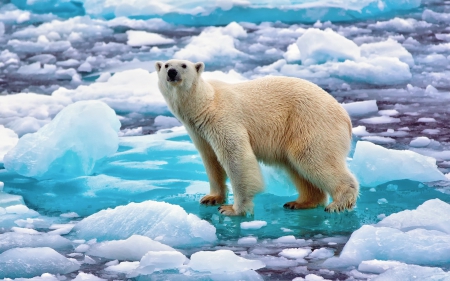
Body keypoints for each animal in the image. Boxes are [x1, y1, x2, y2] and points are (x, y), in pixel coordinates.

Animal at [155, 59, 358, 214]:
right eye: (166, 65)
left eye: (183, 65)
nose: (172, 72)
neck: (205, 104)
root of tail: (345, 116)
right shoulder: (199, 132)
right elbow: (211, 160)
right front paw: (211, 198)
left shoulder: (223, 119)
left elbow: (236, 157)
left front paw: (232, 209)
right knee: (297, 167)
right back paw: (299, 202)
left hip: (310, 123)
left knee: (312, 158)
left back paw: (338, 203)